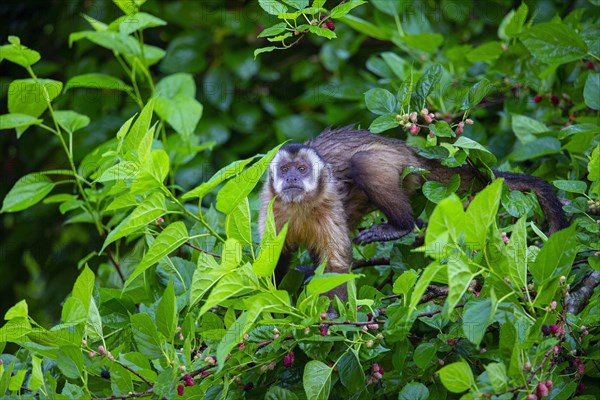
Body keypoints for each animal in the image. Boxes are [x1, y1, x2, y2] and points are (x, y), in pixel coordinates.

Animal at [256, 126, 568, 302]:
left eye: (302, 169)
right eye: (285, 170)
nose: (292, 178)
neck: (300, 206)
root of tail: (407, 149)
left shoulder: (328, 201)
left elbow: (335, 265)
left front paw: (331, 315)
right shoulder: (270, 207)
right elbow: (270, 262)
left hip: (399, 163)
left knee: (364, 161)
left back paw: (401, 226)